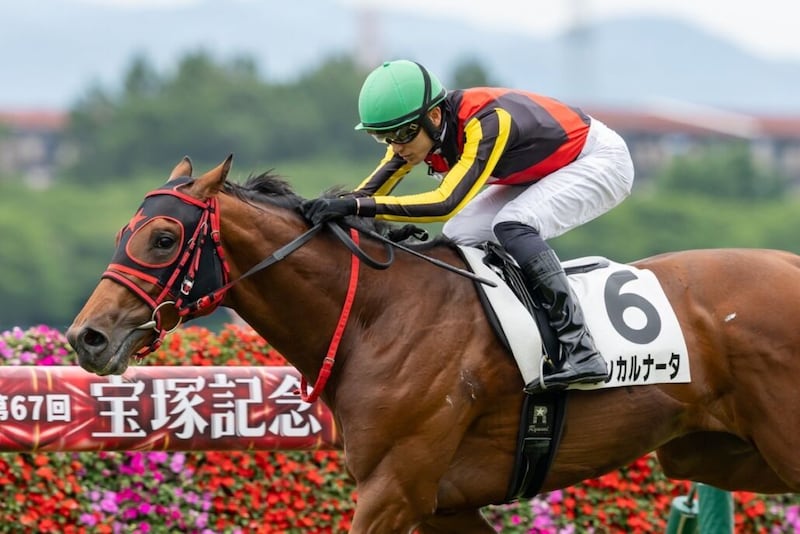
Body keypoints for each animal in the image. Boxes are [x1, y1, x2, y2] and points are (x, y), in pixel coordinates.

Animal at [68, 155, 800, 533]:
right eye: (123, 233)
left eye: (164, 238)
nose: (87, 337)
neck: (377, 316)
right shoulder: (445, 501)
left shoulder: (395, 488)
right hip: (710, 452)